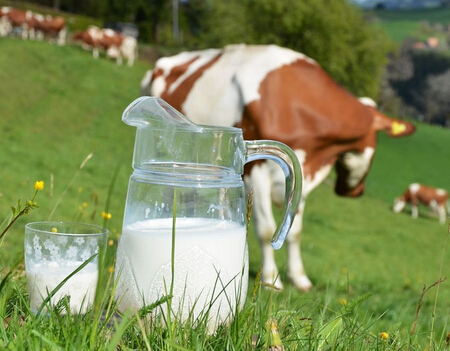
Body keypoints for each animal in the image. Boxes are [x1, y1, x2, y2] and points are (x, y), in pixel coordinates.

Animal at [142, 44, 418, 292]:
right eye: (376, 141)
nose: (356, 191)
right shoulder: (256, 172)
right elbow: (266, 231)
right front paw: (271, 280)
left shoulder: (302, 172)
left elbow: (294, 230)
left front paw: (300, 278)